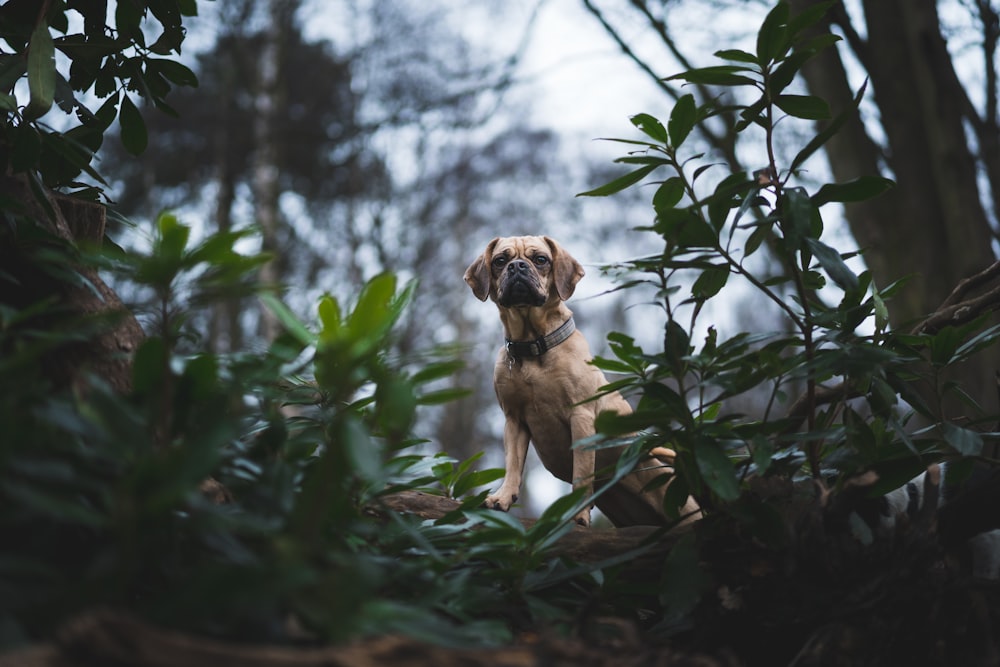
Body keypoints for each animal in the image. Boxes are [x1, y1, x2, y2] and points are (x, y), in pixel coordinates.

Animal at [462, 236, 692, 528]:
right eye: (500, 261)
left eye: (540, 259)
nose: (516, 266)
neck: (533, 344)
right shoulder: (514, 420)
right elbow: (513, 464)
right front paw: (503, 497)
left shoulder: (581, 417)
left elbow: (581, 472)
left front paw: (578, 514)